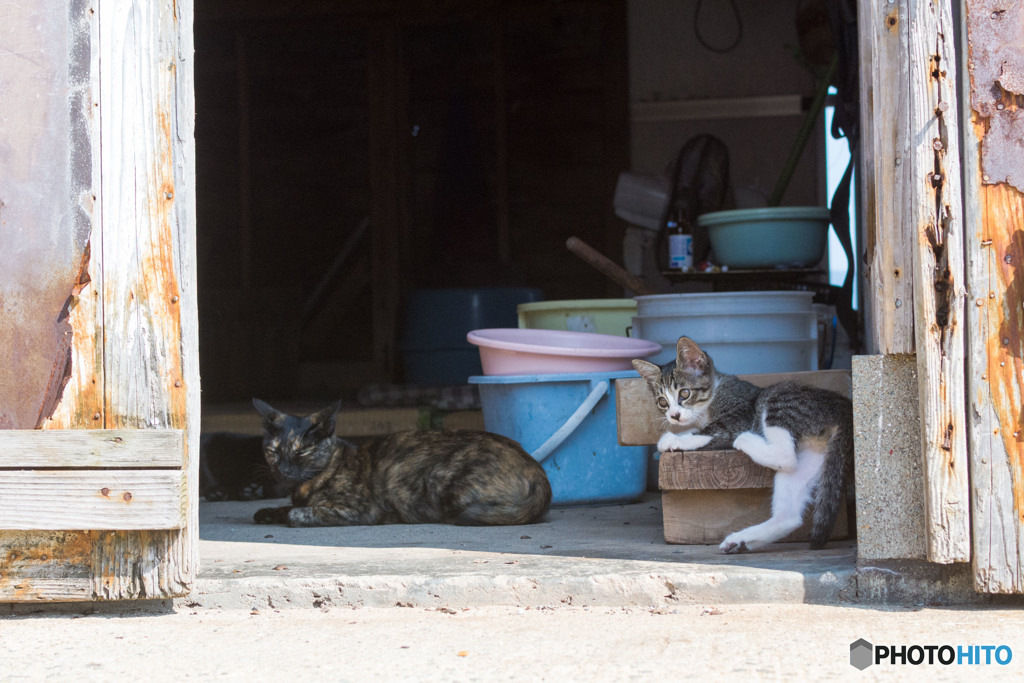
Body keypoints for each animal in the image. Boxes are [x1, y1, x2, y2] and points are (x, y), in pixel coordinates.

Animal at [248, 397, 552, 528]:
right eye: (273, 451)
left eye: (301, 452)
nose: (284, 470)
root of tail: (538, 473)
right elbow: (283, 508)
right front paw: (267, 512)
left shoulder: (359, 511)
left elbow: (296, 514)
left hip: (437, 477)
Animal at [634, 335, 851, 557]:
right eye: (662, 402)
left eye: (684, 393)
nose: (674, 416)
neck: (711, 399)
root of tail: (845, 408)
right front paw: (677, 433)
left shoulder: (741, 413)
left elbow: (713, 429)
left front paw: (674, 439)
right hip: (813, 455)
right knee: (790, 508)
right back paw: (740, 540)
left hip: (778, 399)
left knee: (784, 455)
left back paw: (747, 439)